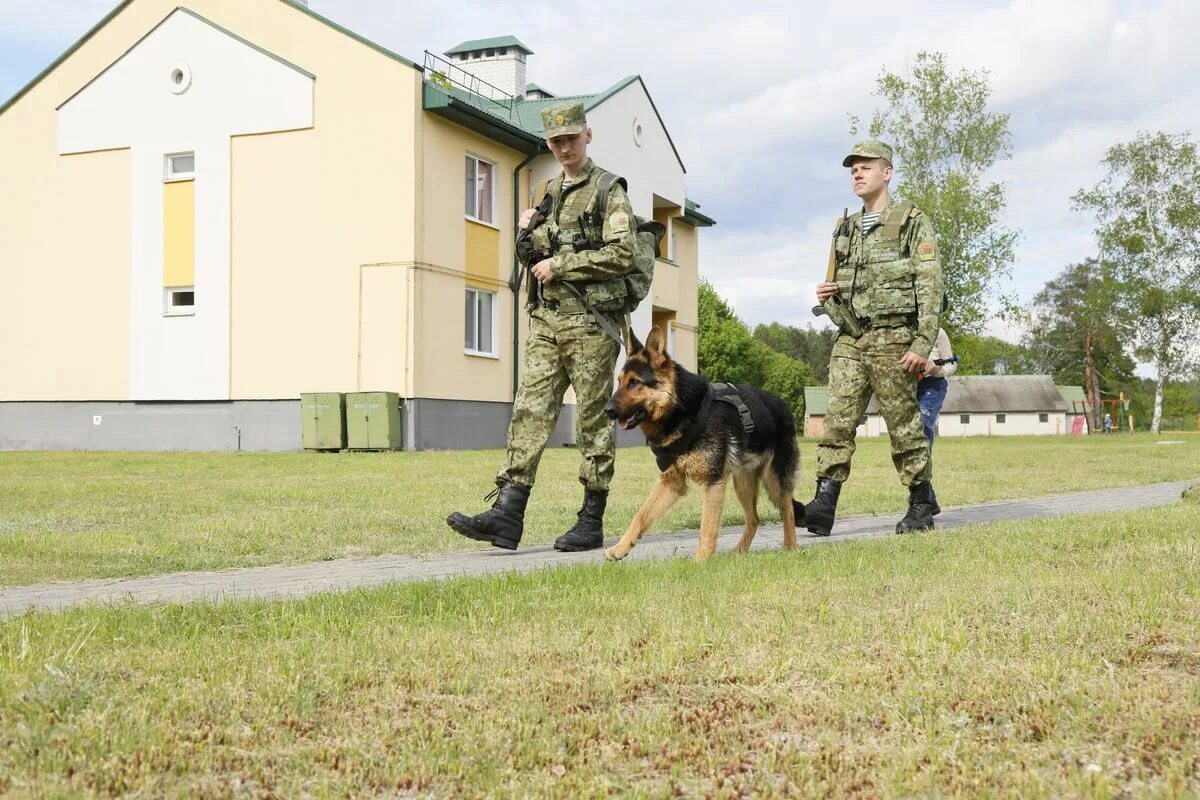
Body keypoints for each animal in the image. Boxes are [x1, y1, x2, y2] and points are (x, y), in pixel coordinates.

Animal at [604, 326, 801, 563]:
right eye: (620, 381)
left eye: (634, 382)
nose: (607, 410)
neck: (681, 408)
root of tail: (784, 405)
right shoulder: (670, 481)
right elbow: (641, 516)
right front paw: (620, 548)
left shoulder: (713, 483)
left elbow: (707, 525)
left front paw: (701, 560)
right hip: (742, 484)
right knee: (754, 518)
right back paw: (740, 550)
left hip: (774, 481)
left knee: (788, 510)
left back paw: (791, 547)